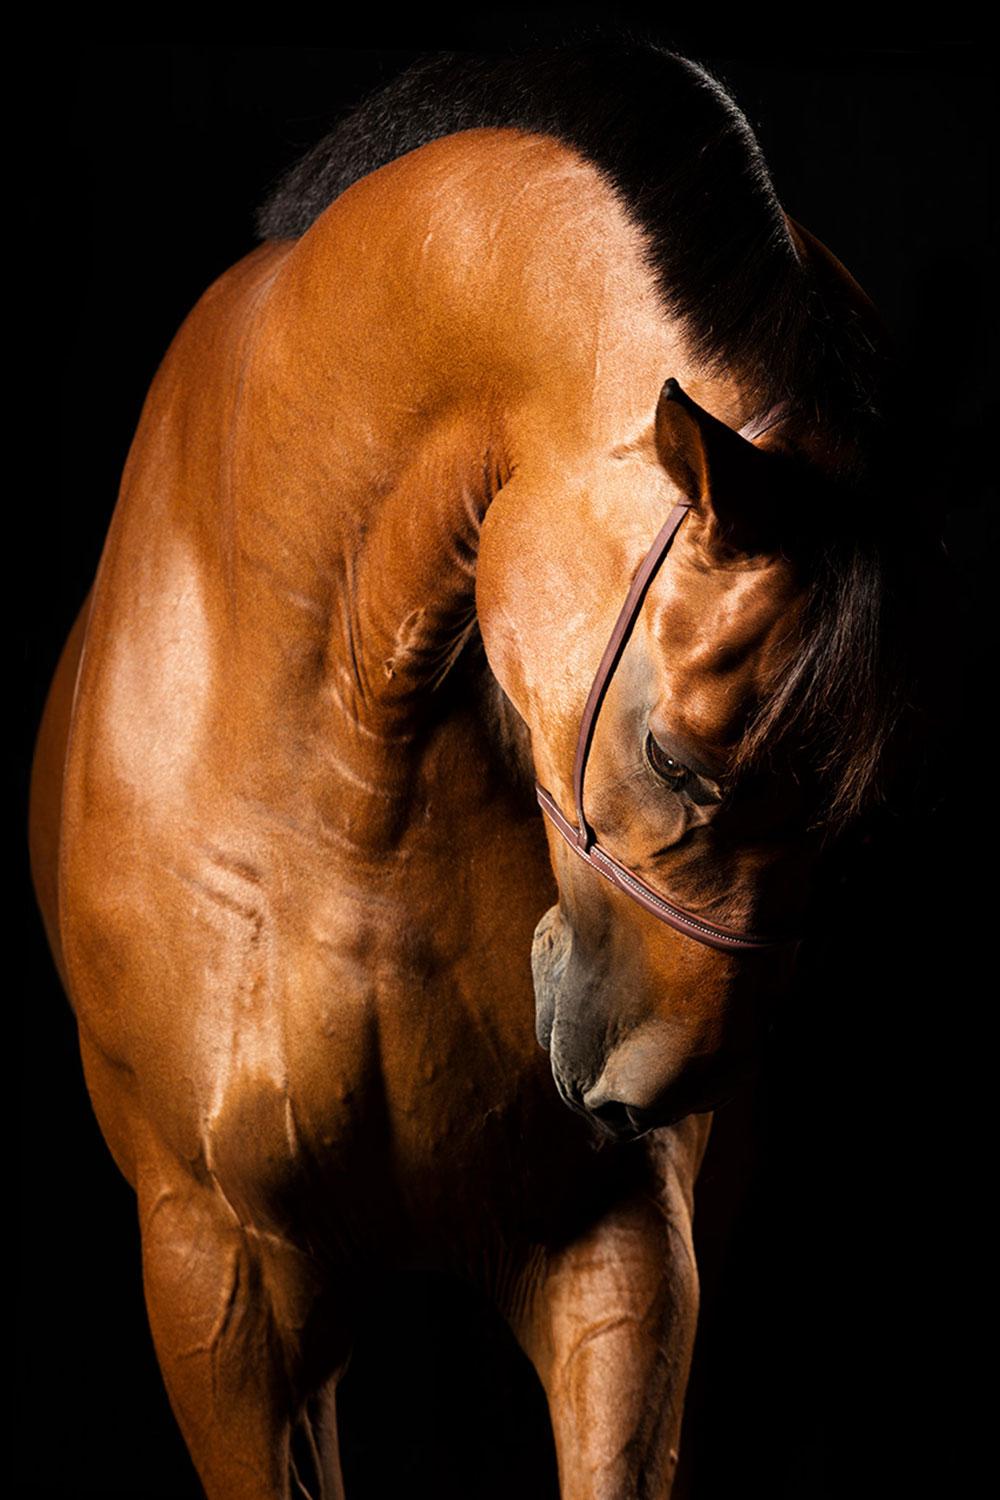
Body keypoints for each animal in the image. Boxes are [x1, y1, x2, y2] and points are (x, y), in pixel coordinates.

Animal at [27, 41, 941, 1500]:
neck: (345, 759)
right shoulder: (216, 1279)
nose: (648, 1094)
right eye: (672, 758)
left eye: (865, 817)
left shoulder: (620, 1251)